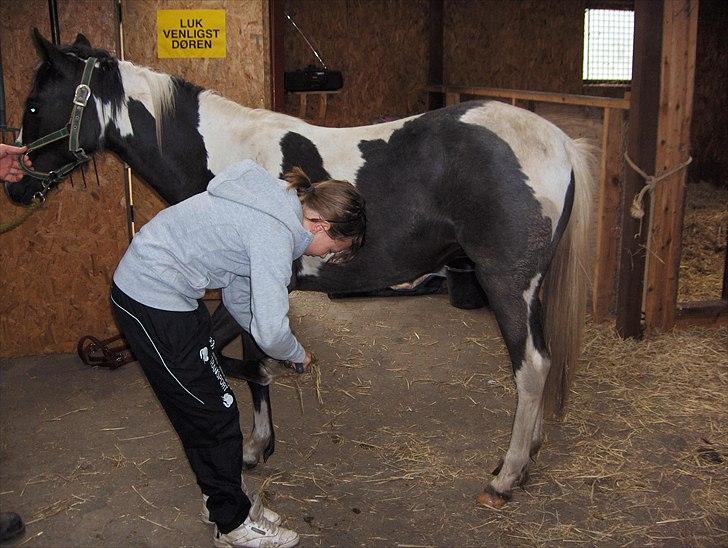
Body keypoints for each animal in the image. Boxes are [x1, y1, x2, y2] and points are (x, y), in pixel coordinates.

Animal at [5, 31, 596, 510]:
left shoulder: (248, 288)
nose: (15, 184)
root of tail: (559, 141)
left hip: (506, 285)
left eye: (35, 104)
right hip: (530, 289)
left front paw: (254, 445)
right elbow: (250, 360)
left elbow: (244, 359)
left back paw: (506, 477)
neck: (227, 160)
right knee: (542, 363)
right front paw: (259, 444)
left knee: (531, 367)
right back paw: (523, 459)